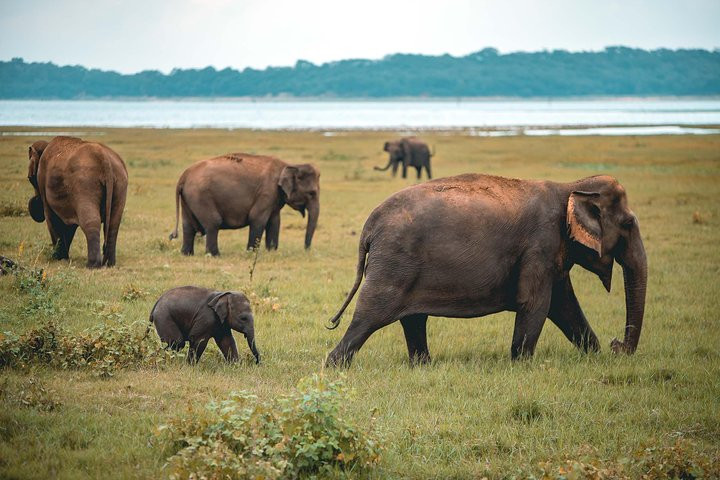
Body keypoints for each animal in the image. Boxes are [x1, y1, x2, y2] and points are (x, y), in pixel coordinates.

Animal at [26, 137, 130, 268]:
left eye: (30, 179)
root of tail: (104, 158)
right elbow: (69, 226)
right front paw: (64, 258)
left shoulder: (42, 181)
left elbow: (52, 218)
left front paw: (57, 258)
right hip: (121, 182)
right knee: (113, 223)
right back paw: (109, 264)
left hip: (85, 183)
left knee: (91, 221)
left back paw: (92, 265)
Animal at [170, 155, 320, 256]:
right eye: (312, 193)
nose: (306, 250)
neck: (289, 165)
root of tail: (183, 176)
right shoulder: (267, 192)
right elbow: (257, 219)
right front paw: (251, 253)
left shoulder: (274, 197)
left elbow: (274, 221)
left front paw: (271, 252)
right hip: (201, 196)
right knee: (213, 222)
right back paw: (215, 255)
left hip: (188, 198)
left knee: (188, 226)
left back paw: (187, 254)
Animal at [326, 174, 648, 366]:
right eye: (628, 224)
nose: (618, 346)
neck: (569, 187)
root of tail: (369, 226)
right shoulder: (540, 245)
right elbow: (535, 303)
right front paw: (521, 365)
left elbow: (564, 305)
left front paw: (594, 356)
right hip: (393, 263)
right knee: (369, 316)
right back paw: (335, 365)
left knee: (413, 319)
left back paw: (424, 366)